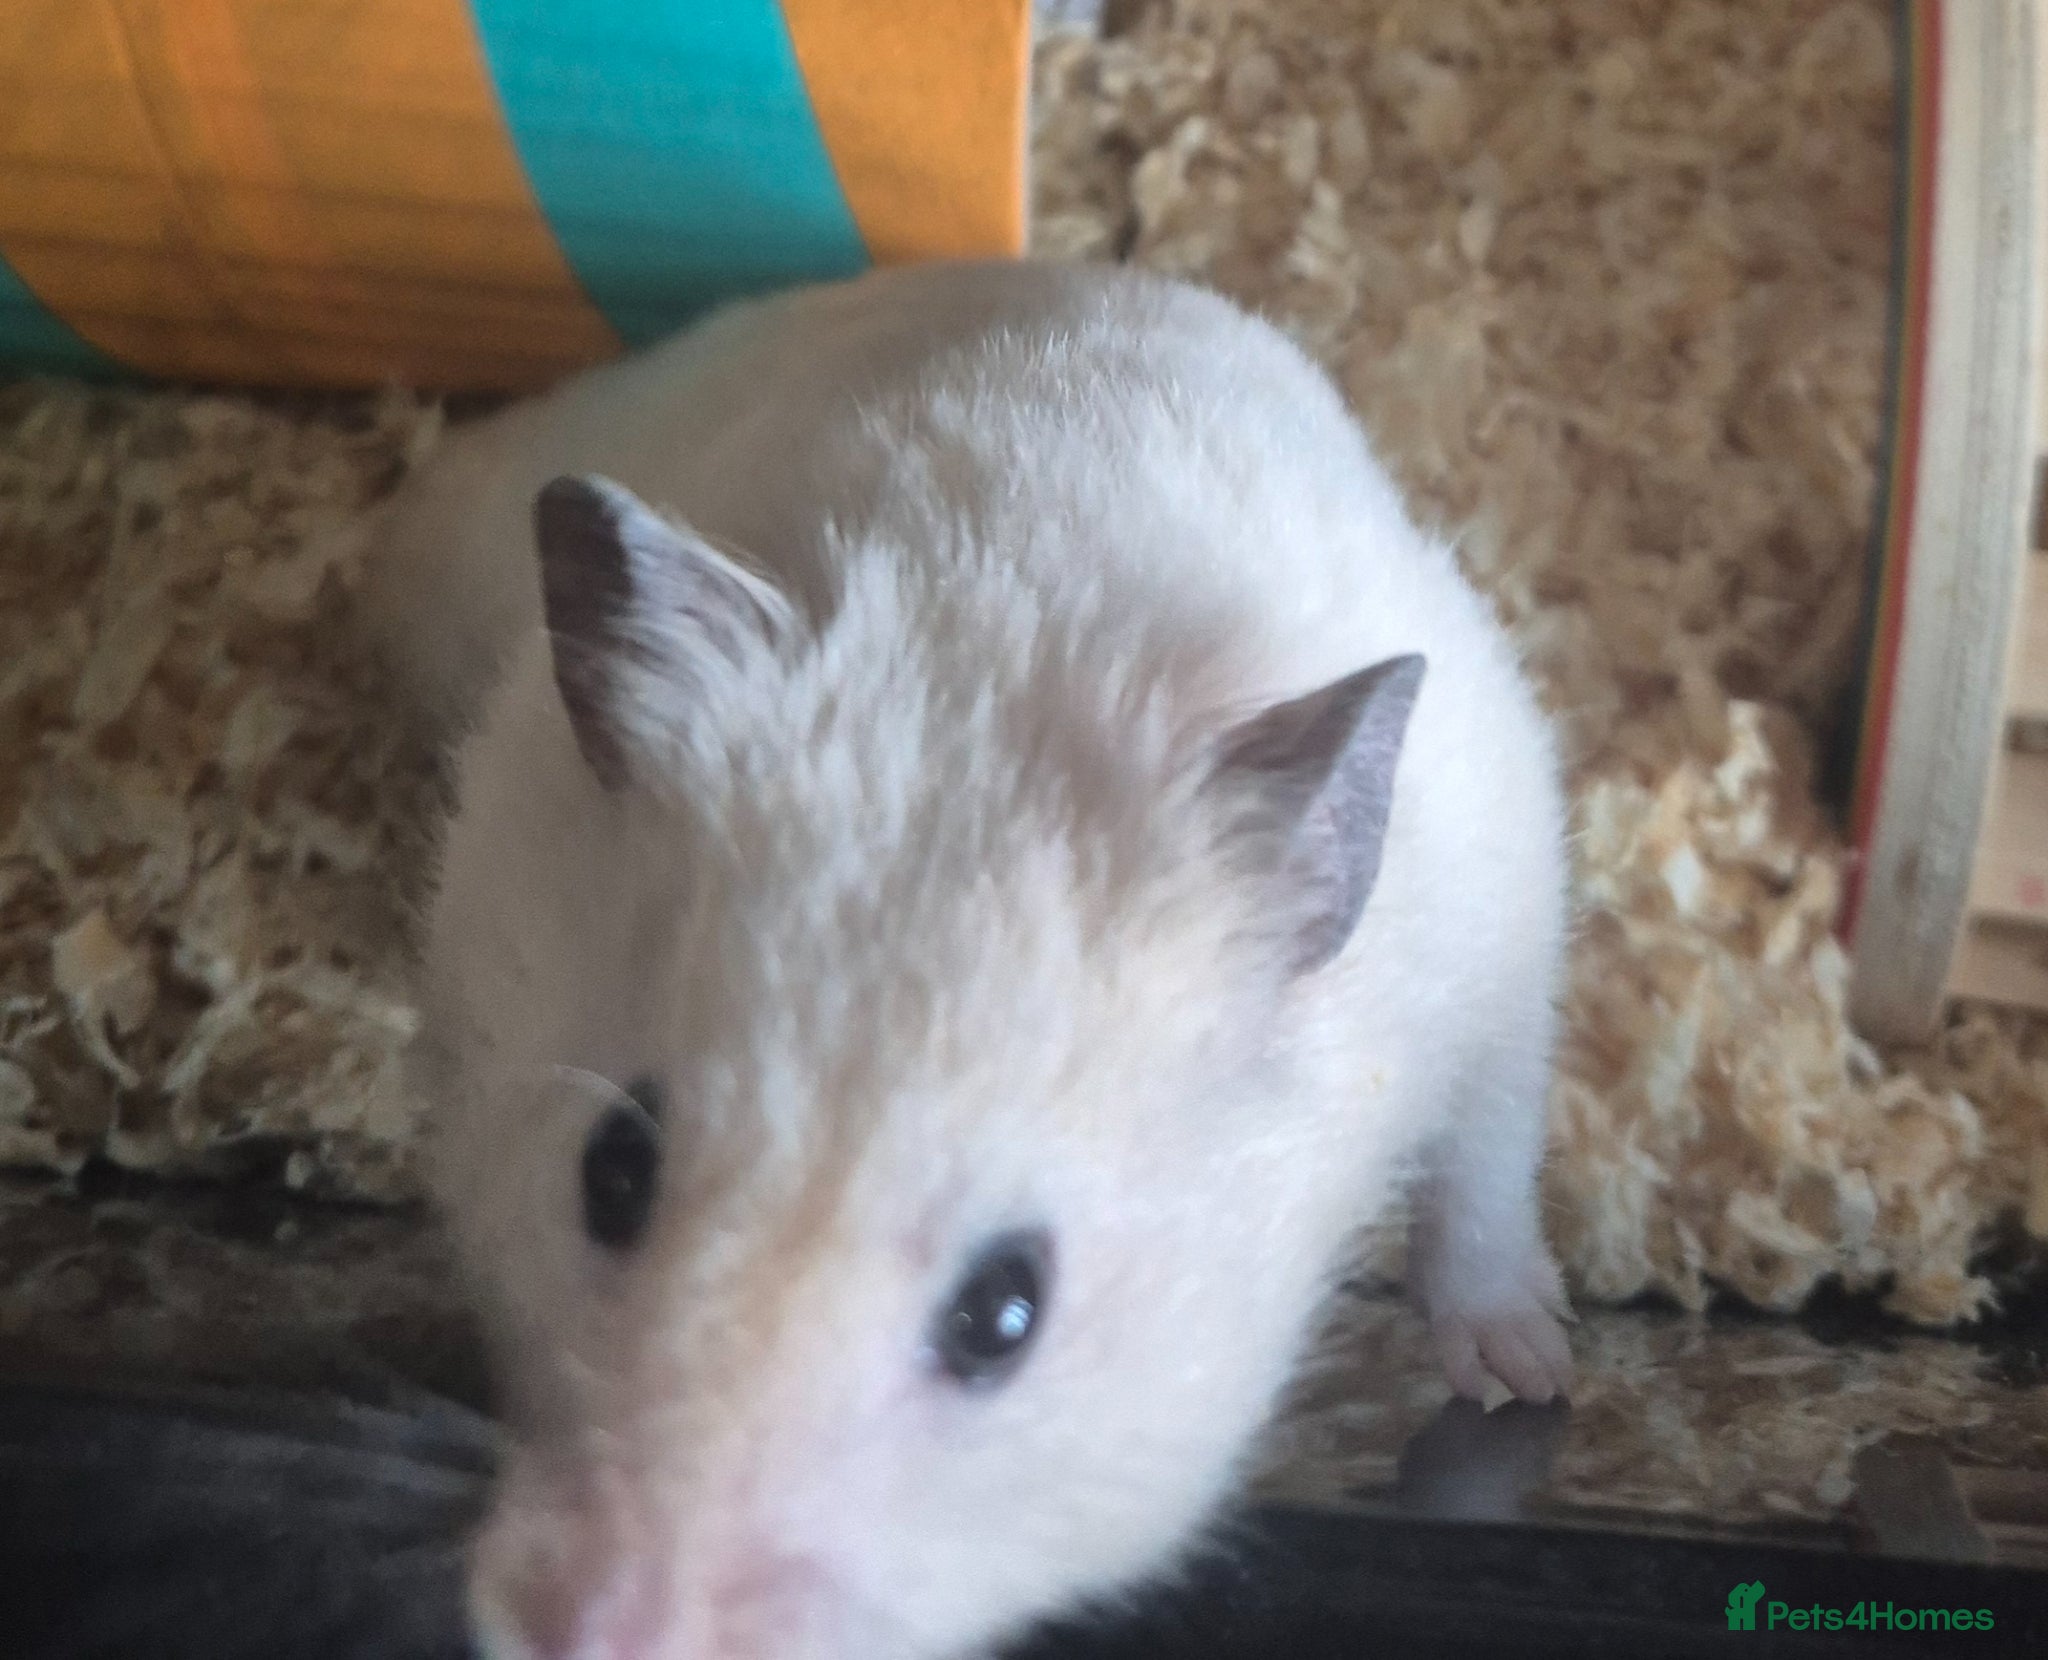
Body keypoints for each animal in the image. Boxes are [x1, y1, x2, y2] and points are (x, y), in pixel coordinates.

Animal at [370, 259, 1574, 1660]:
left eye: (1004, 1313)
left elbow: (1480, 1183)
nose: (597, 1634)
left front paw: (1524, 1384)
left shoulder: (1504, 956)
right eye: (608, 1169)